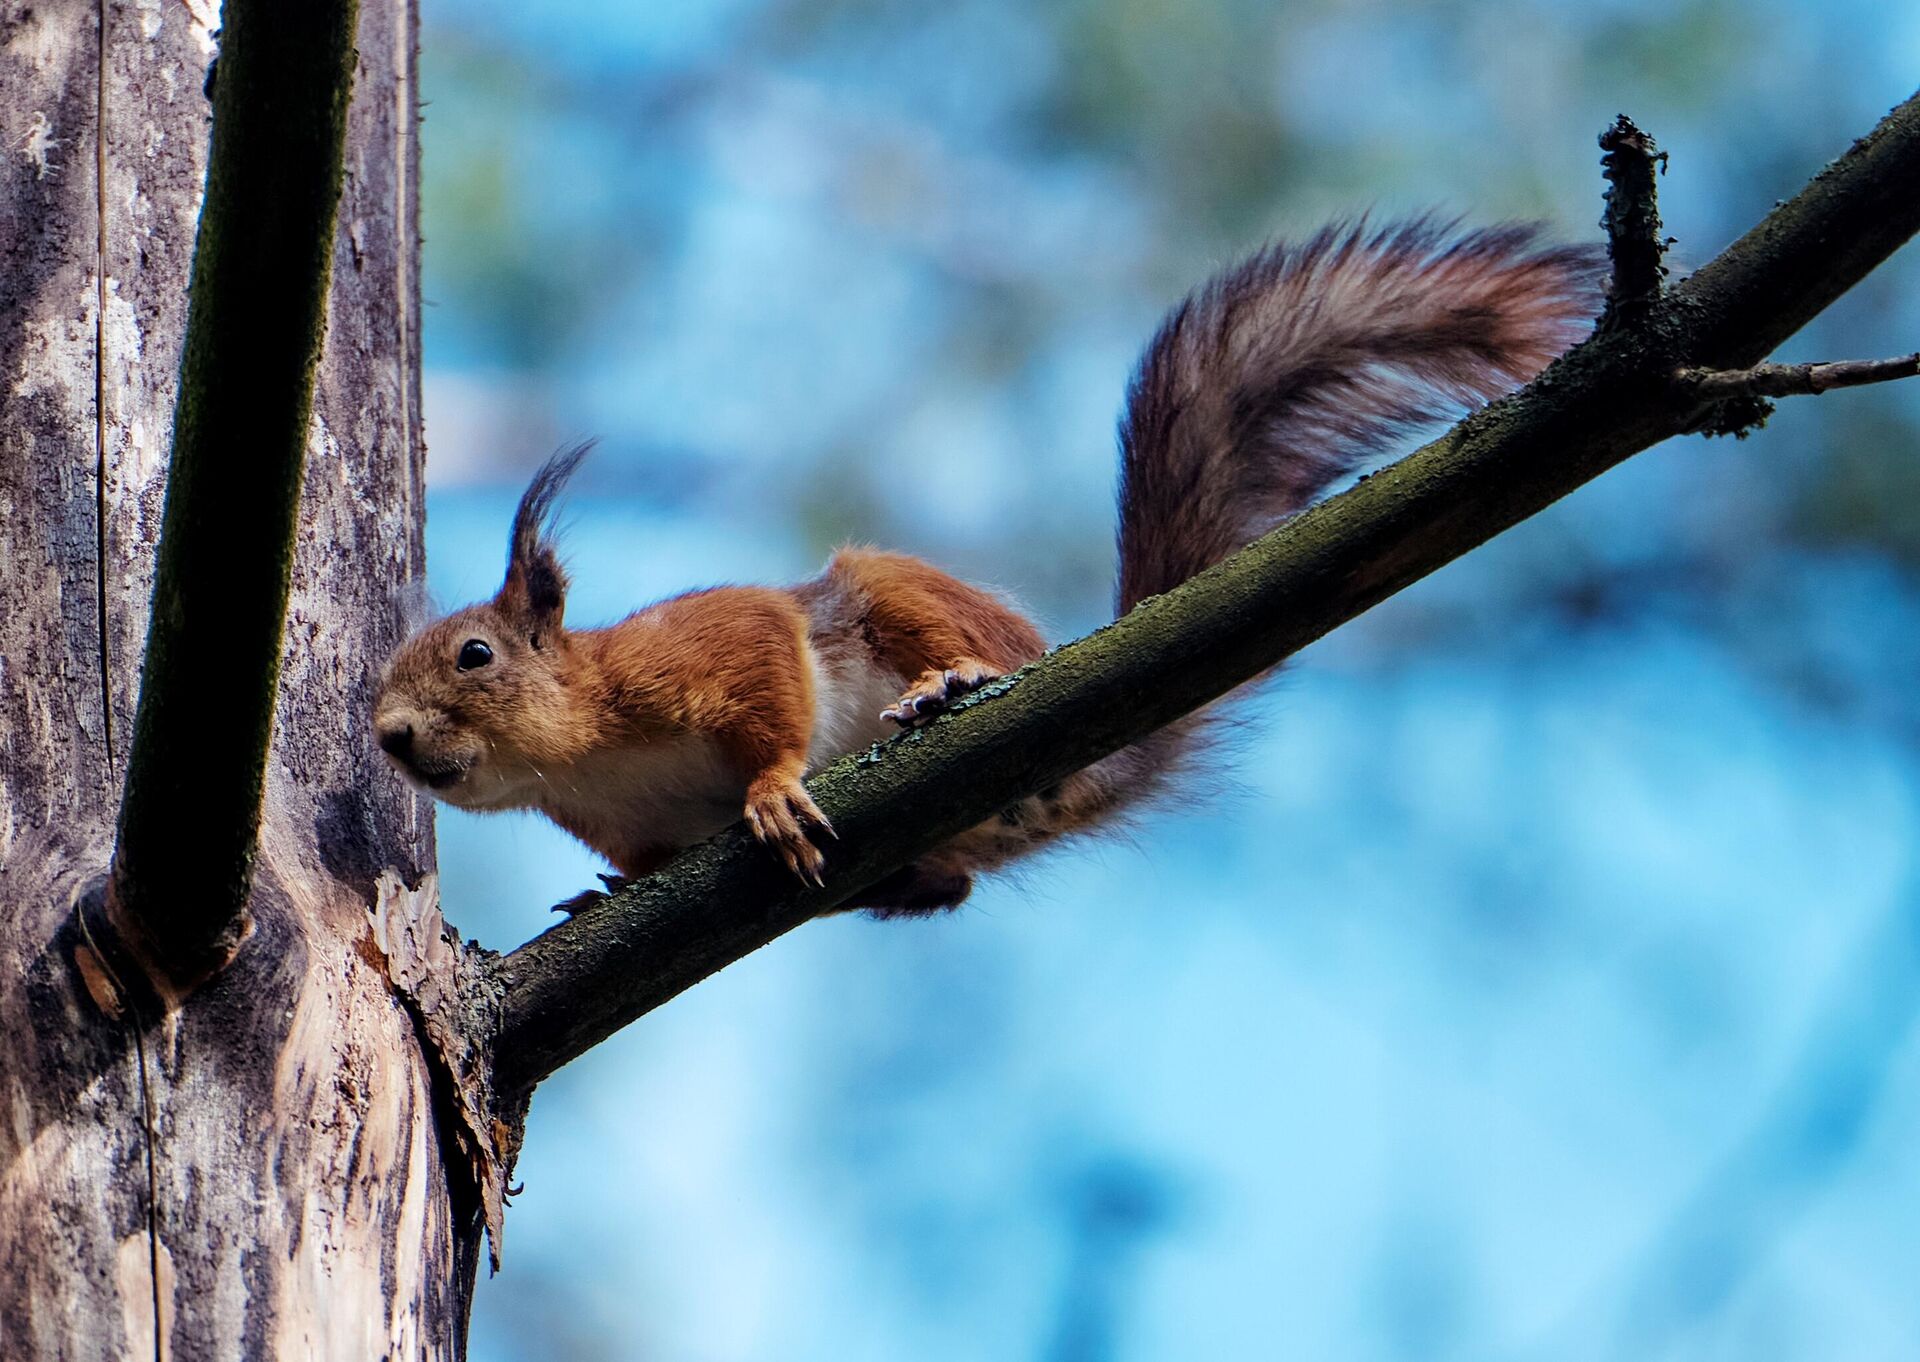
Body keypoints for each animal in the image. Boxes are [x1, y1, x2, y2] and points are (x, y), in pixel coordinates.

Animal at [366, 220, 1597, 914]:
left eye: (473, 655)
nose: (388, 737)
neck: (586, 754)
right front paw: (603, 896)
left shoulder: (701, 650)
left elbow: (768, 678)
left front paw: (769, 791)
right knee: (947, 888)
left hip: (897, 595)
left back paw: (952, 683)